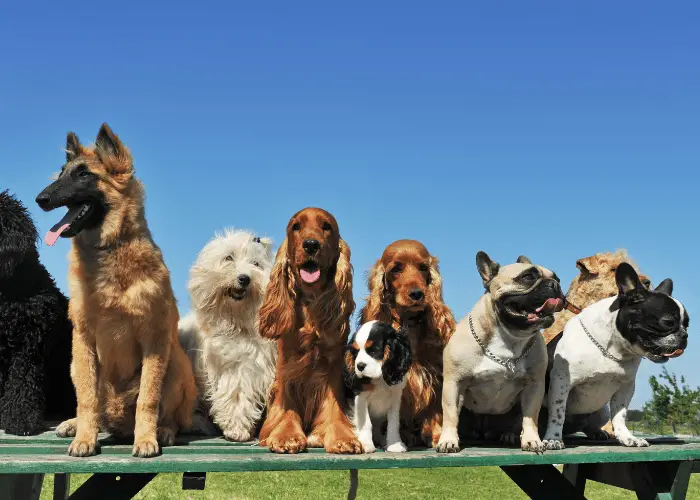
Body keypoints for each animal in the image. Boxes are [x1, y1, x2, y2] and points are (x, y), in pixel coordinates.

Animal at [36, 122, 197, 458]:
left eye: (84, 174)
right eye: (62, 173)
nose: (40, 199)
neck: (109, 249)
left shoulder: (154, 339)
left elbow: (148, 398)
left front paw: (146, 438)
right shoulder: (83, 340)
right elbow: (87, 398)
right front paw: (84, 437)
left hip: (176, 363)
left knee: (170, 414)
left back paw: (164, 431)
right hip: (75, 364)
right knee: (95, 406)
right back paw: (75, 424)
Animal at [178, 230, 276, 442]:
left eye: (256, 264)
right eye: (229, 257)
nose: (244, 278)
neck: (236, 321)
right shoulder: (234, 367)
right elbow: (236, 394)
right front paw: (237, 429)